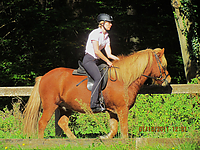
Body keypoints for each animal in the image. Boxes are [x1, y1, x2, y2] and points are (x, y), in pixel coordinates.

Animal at [23, 47, 170, 138]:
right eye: (163, 66)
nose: (168, 79)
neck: (124, 79)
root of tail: (44, 77)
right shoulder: (122, 109)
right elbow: (124, 130)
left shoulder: (113, 111)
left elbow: (114, 129)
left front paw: (104, 137)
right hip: (50, 105)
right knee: (42, 123)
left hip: (65, 107)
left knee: (62, 123)